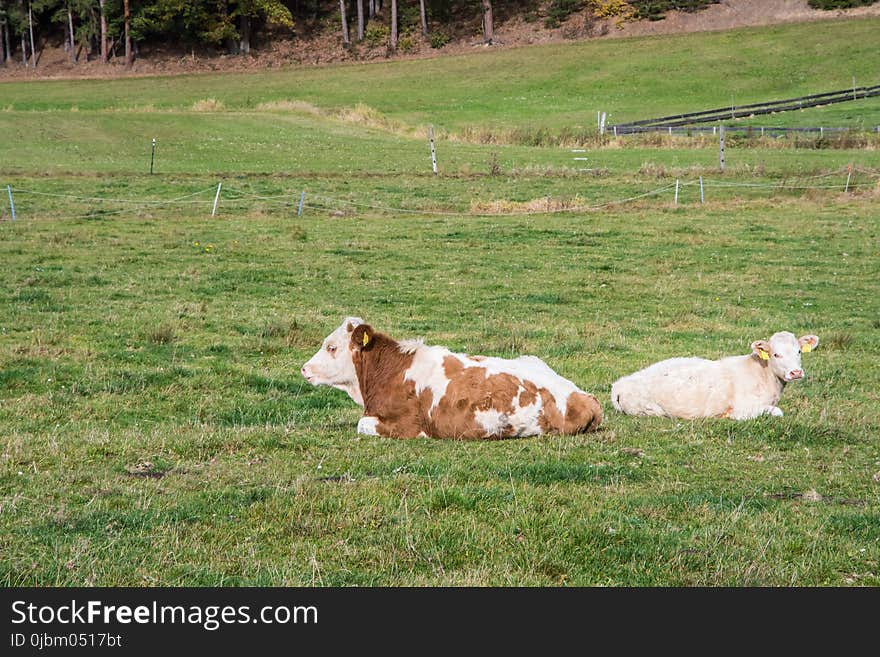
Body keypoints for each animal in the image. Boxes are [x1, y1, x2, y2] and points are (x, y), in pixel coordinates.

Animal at [612, 330, 820, 418]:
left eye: (799, 351)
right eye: (776, 354)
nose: (796, 372)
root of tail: (619, 385)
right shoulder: (744, 409)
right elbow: (778, 412)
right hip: (651, 410)